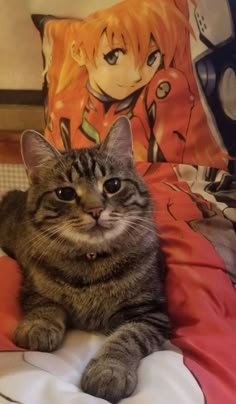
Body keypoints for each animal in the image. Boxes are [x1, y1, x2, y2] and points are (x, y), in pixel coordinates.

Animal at [0, 115, 171, 402]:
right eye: (65, 193)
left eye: (112, 185)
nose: (95, 210)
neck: (92, 262)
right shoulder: (32, 288)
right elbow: (45, 306)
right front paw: (38, 326)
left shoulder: (149, 313)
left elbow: (126, 338)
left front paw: (109, 371)